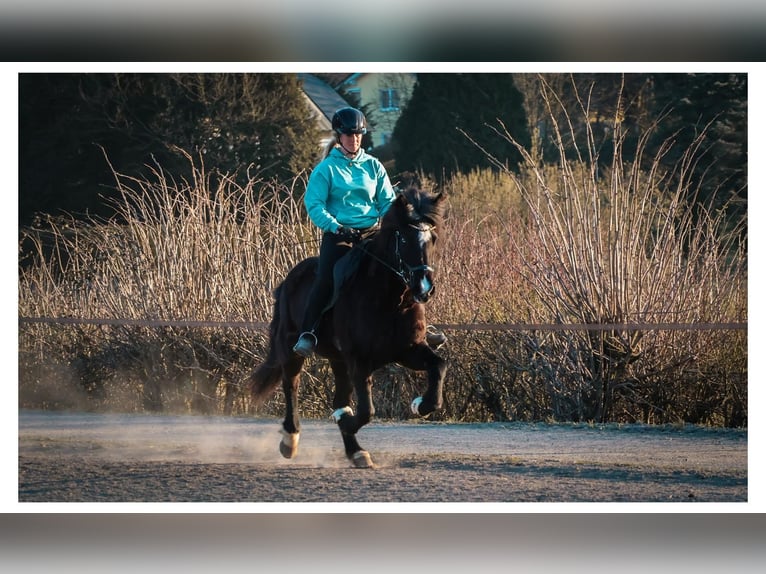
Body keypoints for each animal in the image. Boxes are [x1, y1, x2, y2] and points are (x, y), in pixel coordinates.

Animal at [248, 179, 447, 468]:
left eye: (432, 239)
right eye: (404, 238)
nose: (425, 289)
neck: (388, 299)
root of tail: (288, 280)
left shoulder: (407, 350)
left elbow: (439, 366)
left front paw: (421, 404)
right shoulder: (359, 359)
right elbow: (366, 411)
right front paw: (345, 420)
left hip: (337, 359)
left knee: (338, 397)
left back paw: (355, 451)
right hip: (291, 347)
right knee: (291, 385)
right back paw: (290, 440)